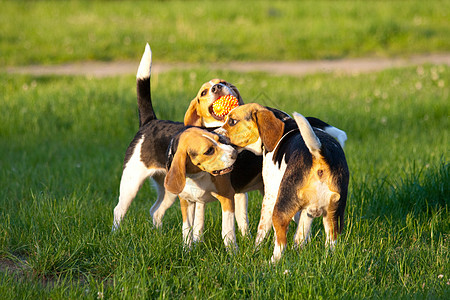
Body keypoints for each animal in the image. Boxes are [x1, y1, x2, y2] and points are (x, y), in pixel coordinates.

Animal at [112, 44, 239, 250]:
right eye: (204, 92)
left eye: (224, 82)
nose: (218, 87)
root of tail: (150, 121)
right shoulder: (190, 199)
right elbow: (192, 227)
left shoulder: (224, 196)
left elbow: (222, 228)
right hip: (131, 184)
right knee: (119, 211)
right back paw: (116, 235)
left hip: (168, 190)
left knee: (155, 211)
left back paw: (158, 234)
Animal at [216, 103, 350, 262]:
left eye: (232, 121)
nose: (215, 135)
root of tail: (319, 154)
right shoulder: (307, 211)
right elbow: (301, 235)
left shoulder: (270, 196)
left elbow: (262, 231)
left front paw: (255, 250)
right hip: (333, 215)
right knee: (331, 241)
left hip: (280, 209)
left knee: (281, 243)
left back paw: (271, 263)